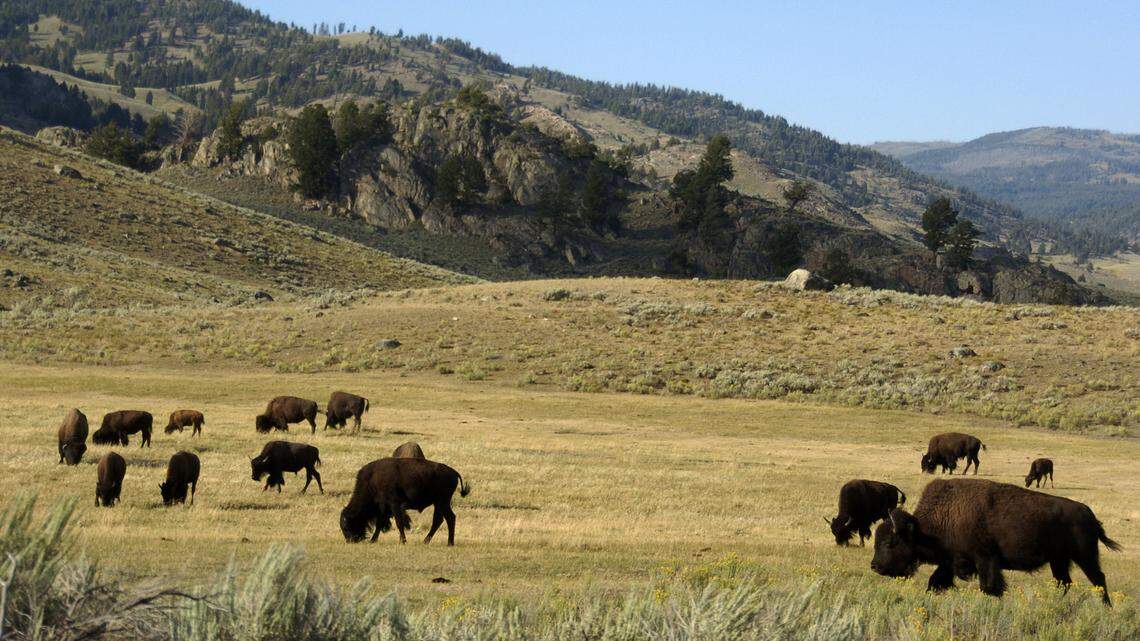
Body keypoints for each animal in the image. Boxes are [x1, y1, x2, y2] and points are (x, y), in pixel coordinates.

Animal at [340, 457, 471, 546]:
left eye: (346, 527)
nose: (350, 540)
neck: (372, 480)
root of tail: (454, 472)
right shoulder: (383, 508)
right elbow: (380, 524)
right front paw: (373, 540)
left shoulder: (394, 505)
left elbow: (399, 522)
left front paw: (402, 541)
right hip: (442, 503)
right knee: (449, 518)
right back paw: (449, 543)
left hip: (441, 502)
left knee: (439, 520)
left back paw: (426, 541)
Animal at [871, 478, 1121, 605]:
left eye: (891, 543)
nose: (875, 566)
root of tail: (1088, 513)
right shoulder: (951, 561)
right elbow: (935, 581)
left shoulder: (985, 559)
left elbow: (990, 587)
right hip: (1059, 561)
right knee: (1064, 582)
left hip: (1085, 556)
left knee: (1098, 579)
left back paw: (1106, 607)